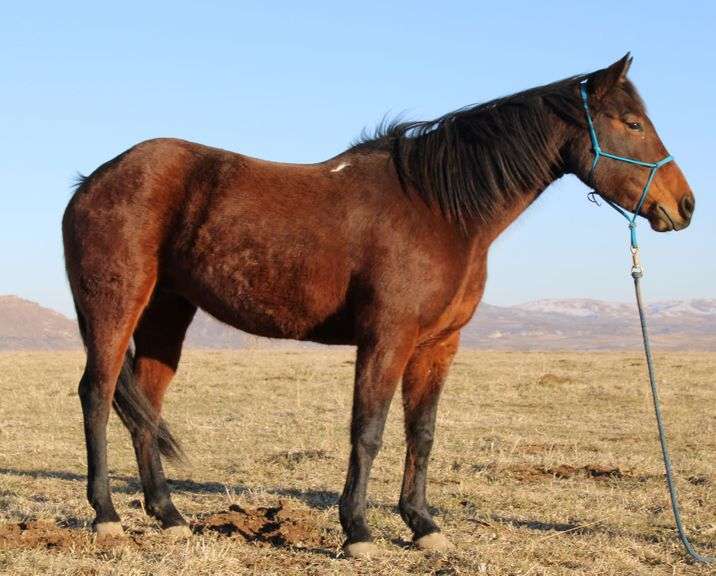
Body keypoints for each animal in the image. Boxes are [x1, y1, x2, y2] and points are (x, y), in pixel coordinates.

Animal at [62, 54, 694, 557]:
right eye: (633, 123)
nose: (684, 205)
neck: (438, 209)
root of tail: (93, 180)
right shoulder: (386, 339)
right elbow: (368, 430)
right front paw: (358, 531)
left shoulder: (438, 345)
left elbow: (423, 432)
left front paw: (422, 525)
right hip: (115, 305)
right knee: (98, 392)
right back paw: (107, 516)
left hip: (167, 312)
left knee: (144, 404)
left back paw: (169, 516)